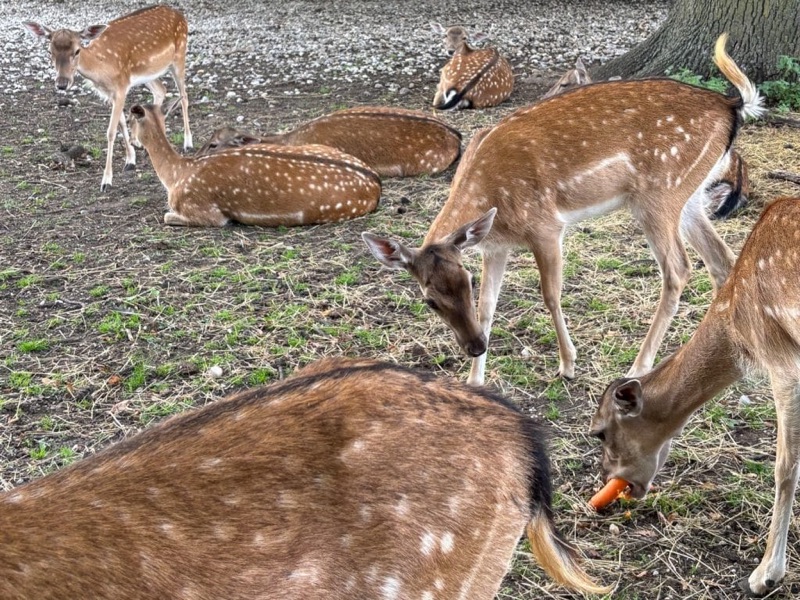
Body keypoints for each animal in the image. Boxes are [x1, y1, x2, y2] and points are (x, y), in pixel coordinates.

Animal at [23, 5, 193, 192]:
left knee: (184, 96)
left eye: (77, 50)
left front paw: (106, 181)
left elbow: (111, 131)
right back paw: (142, 139)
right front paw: (130, 160)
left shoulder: (121, 87)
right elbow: (121, 123)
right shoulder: (112, 92)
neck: (102, 69)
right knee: (161, 90)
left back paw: (187, 143)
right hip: (149, 72)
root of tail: (178, 13)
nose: (62, 84)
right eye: (49, 51)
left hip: (179, 56)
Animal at [129, 103, 381, 227]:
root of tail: (376, 184)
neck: (176, 175)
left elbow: (167, 216)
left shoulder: (206, 212)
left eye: (130, 122)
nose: (132, 142)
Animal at [590, 196, 800, 597]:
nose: (606, 478)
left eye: (600, 433)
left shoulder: (783, 362)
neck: (739, 331)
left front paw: (765, 574)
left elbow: (785, 466)